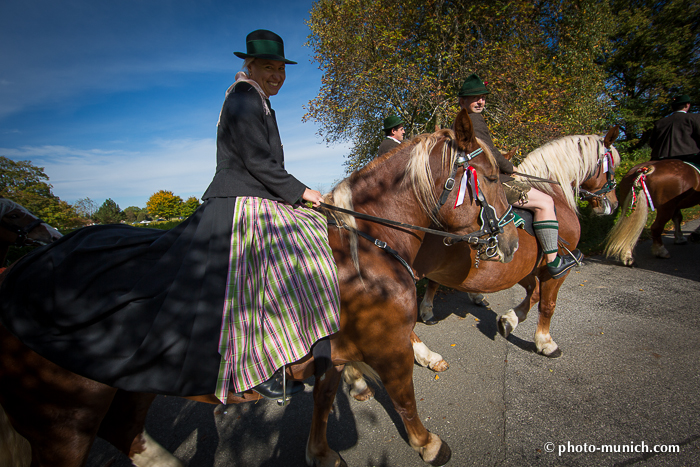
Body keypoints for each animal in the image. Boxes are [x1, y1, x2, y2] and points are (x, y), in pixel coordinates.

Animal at [0, 108, 516, 467]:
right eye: (490, 177)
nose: (511, 242)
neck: (366, 244)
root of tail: (15, 276)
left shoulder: (333, 348)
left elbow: (325, 398)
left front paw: (320, 452)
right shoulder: (386, 344)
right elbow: (404, 396)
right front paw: (428, 444)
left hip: (123, 390)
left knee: (130, 434)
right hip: (63, 421)